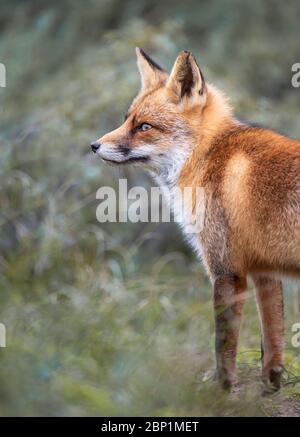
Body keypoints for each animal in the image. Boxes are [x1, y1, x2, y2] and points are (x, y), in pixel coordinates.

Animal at [91, 48, 300, 392]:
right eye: (127, 119)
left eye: (144, 127)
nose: (93, 146)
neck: (208, 155)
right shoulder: (265, 273)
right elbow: (272, 343)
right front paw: (270, 389)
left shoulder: (227, 269)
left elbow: (223, 345)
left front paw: (221, 391)